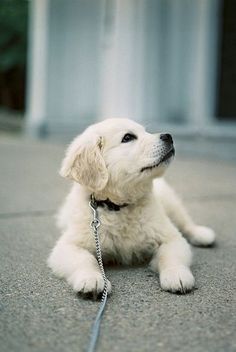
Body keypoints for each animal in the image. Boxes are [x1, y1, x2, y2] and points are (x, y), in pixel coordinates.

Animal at [48, 119, 216, 296]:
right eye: (128, 137)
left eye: (145, 132)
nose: (168, 136)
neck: (119, 206)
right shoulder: (68, 245)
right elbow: (85, 259)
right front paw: (92, 279)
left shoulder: (171, 237)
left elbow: (170, 255)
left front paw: (176, 274)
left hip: (170, 201)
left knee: (185, 221)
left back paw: (202, 234)